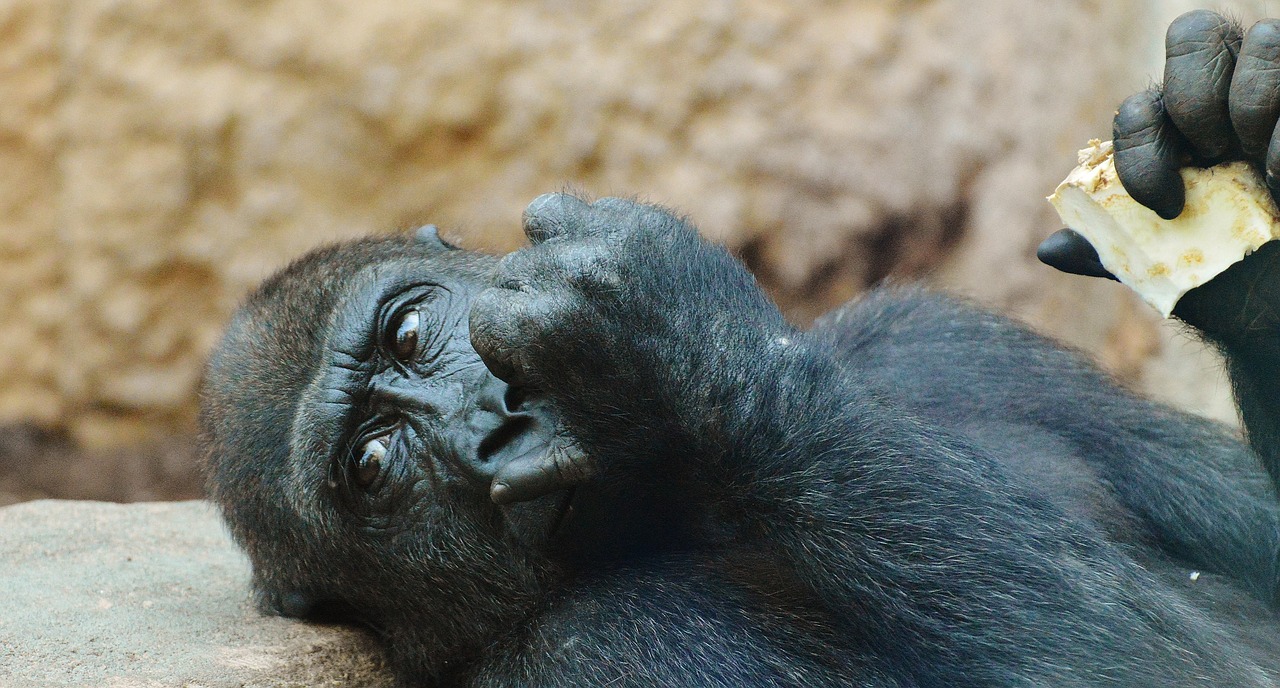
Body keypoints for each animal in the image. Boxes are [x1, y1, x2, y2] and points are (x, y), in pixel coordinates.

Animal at [199, 12, 1280, 685]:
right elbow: (1154, 672)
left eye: (411, 330)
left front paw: (1234, 186)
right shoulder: (608, 648)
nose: (493, 426)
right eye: (372, 465)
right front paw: (683, 344)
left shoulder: (931, 341)